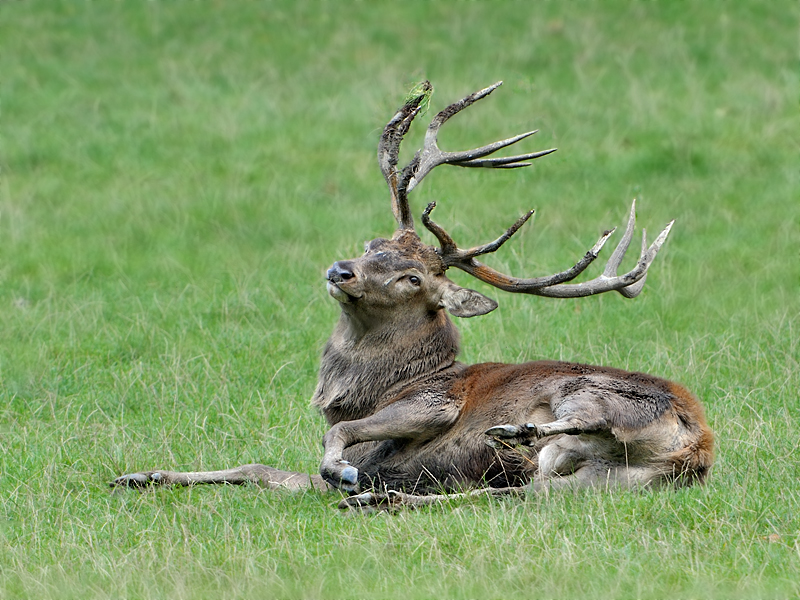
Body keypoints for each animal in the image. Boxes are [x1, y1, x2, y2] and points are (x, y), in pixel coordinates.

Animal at [111, 81, 712, 510]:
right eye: (373, 243)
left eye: (414, 279)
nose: (342, 271)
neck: (373, 391)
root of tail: (696, 448)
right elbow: (255, 469)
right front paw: (139, 474)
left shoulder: (433, 403)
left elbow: (337, 445)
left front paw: (342, 468)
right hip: (599, 482)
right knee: (510, 492)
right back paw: (393, 497)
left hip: (598, 395)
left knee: (577, 428)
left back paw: (505, 434)